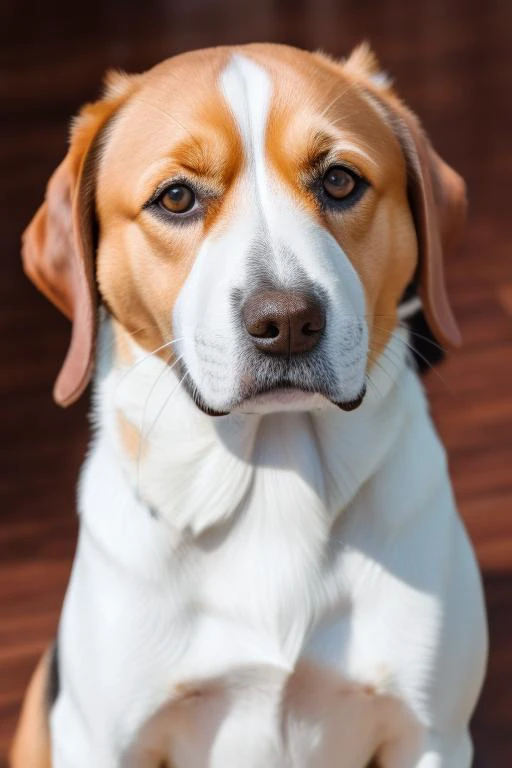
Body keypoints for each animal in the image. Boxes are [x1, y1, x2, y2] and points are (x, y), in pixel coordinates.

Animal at [10, 43, 486, 768]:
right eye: (176, 197)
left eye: (339, 181)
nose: (286, 322)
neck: (273, 482)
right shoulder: (104, 741)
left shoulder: (430, 734)